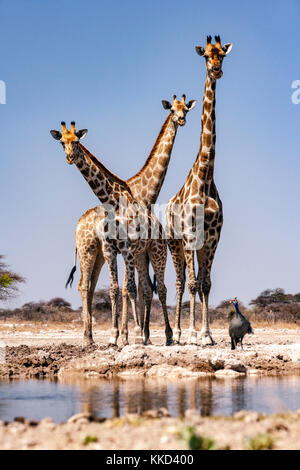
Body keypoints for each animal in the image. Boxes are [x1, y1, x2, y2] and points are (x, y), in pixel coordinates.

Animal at [50, 123, 172, 346]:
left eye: (77, 141)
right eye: (62, 142)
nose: (70, 157)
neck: (112, 202)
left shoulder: (127, 249)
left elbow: (129, 289)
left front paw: (132, 335)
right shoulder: (109, 250)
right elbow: (114, 289)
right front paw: (114, 336)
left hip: (157, 252)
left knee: (162, 289)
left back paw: (168, 336)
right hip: (118, 254)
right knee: (92, 286)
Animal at [66, 95, 196, 346]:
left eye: (185, 109)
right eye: (172, 109)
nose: (182, 119)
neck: (145, 190)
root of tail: (76, 224)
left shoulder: (135, 251)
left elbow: (137, 289)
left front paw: (136, 334)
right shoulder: (131, 249)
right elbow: (131, 289)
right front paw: (132, 334)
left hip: (98, 254)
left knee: (90, 286)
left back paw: (90, 336)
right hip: (89, 250)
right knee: (86, 285)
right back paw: (91, 337)